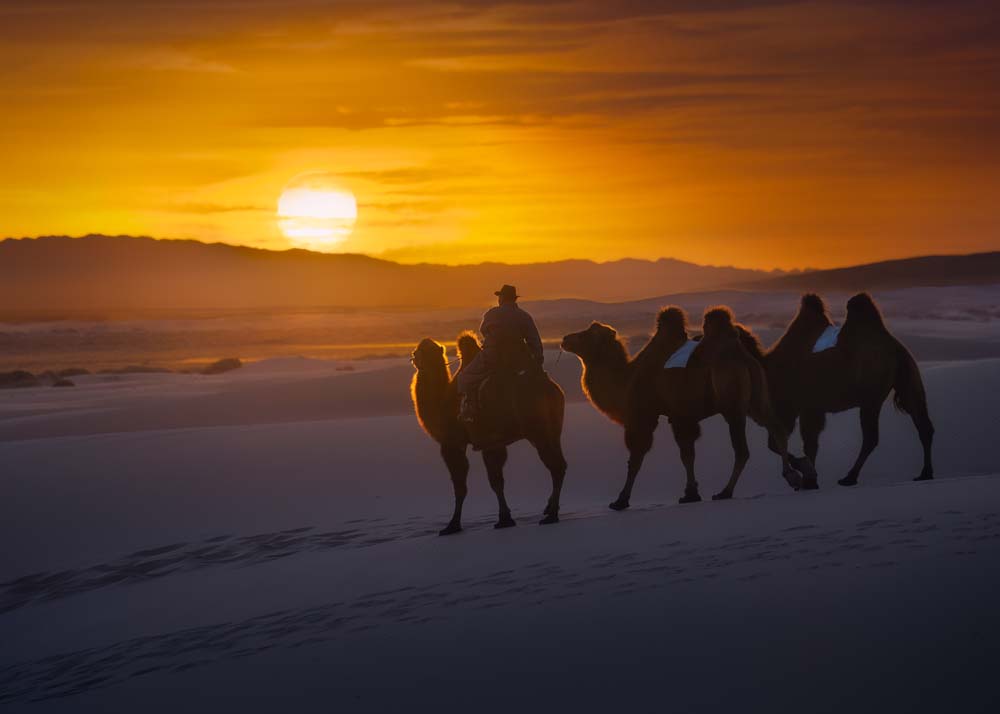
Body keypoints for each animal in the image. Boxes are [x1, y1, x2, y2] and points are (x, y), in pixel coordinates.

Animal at [410, 330, 568, 532]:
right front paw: (505, 519)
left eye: (420, 350)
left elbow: (462, 485)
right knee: (560, 463)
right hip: (554, 429)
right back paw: (550, 510)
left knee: (556, 465)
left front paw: (452, 525)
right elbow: (497, 481)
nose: (413, 356)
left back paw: (552, 515)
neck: (442, 403)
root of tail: (550, 388)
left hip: (537, 429)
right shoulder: (493, 443)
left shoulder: (453, 443)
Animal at [564, 306, 804, 506]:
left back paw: (725, 491)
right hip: (755, 398)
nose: (565, 338)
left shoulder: (646, 417)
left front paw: (621, 500)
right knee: (776, 427)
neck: (628, 378)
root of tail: (743, 355)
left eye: (585, 335)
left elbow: (636, 459)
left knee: (742, 450)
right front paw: (690, 493)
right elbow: (687, 454)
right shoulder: (682, 416)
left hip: (732, 403)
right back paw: (792, 476)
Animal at [764, 290, 936, 484]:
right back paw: (925, 473)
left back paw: (849, 477)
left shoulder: (801, 405)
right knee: (922, 424)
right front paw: (809, 478)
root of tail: (897, 350)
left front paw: (807, 479)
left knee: (871, 437)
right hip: (905, 379)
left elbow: (794, 443)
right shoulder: (810, 408)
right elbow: (807, 443)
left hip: (871, 396)